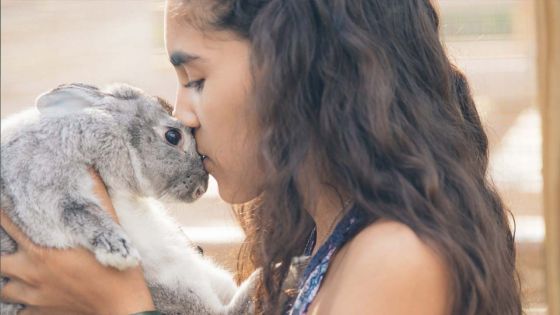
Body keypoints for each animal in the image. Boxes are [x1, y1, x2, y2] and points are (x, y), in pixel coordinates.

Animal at [0, 82, 258, 314]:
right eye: (173, 136)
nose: (201, 189)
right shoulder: (42, 184)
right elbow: (80, 212)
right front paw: (120, 253)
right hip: (169, 289)